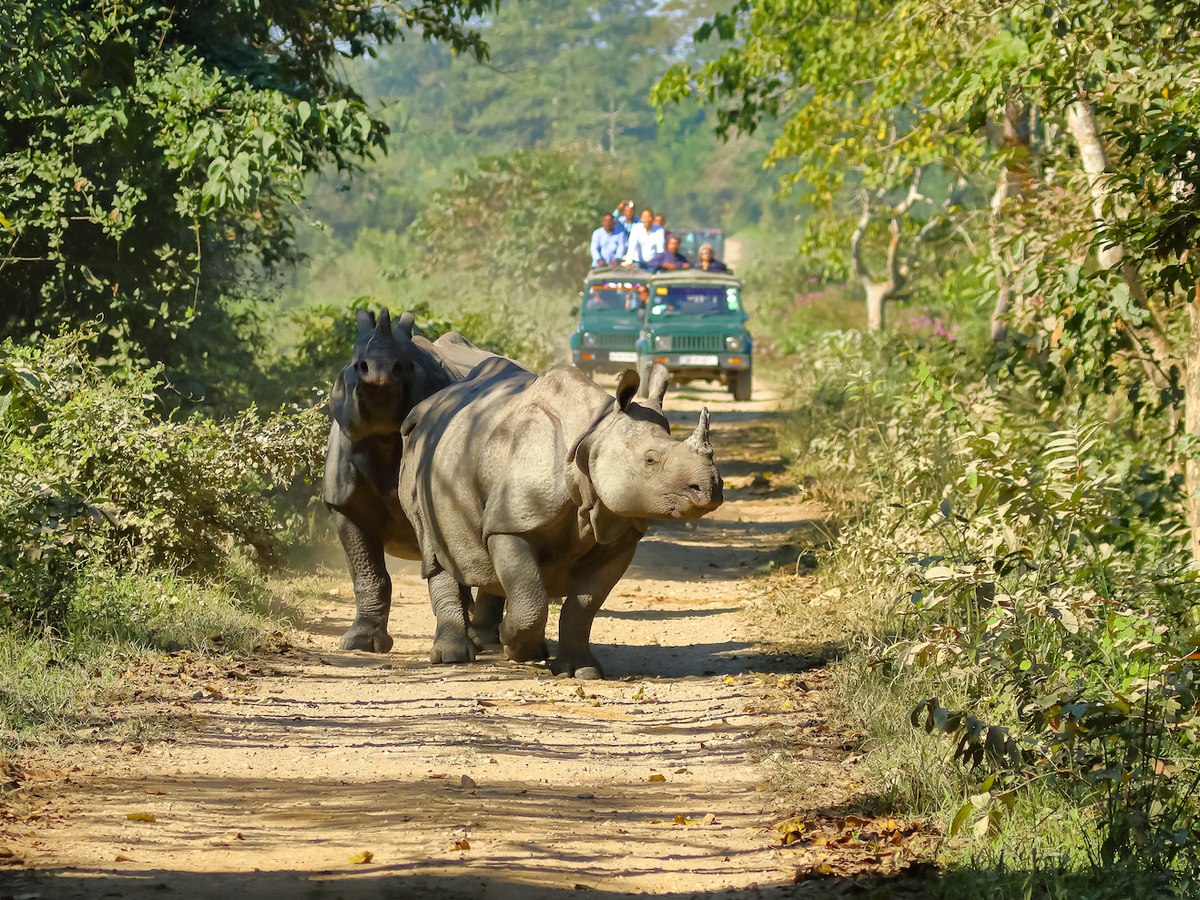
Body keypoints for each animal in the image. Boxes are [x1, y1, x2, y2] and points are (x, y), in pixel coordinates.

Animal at [322, 308, 506, 657]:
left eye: (406, 366)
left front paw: (457, 648)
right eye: (355, 365)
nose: (379, 375)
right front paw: (359, 643)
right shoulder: (344, 500)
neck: (384, 438)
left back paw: (486, 642)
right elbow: (368, 572)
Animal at [397, 360, 723, 679]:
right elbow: (531, 601)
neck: (595, 436)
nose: (710, 489)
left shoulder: (619, 538)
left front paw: (580, 670)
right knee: (434, 550)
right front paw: (516, 647)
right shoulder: (511, 524)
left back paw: (496, 644)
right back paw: (455, 656)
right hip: (413, 457)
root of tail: (427, 405)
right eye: (650, 460)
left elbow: (583, 606)